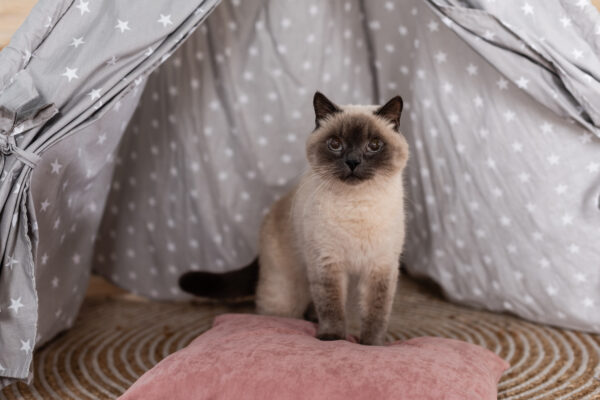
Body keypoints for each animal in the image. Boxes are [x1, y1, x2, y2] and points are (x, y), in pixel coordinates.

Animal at [180, 92, 410, 346]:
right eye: (335, 144)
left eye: (374, 146)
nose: (352, 161)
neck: (356, 205)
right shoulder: (326, 263)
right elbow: (331, 307)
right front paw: (332, 339)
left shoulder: (380, 268)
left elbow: (376, 313)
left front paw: (372, 345)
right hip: (286, 296)